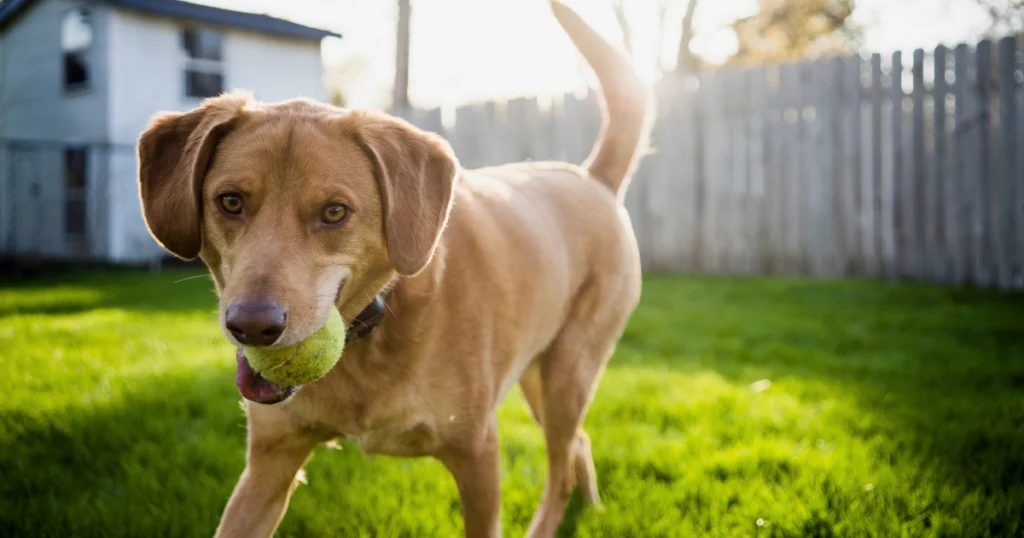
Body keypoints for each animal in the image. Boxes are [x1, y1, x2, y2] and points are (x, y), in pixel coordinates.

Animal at [136, 2, 651, 532]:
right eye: (230, 202)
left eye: (335, 212)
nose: (252, 327)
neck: (372, 328)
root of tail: (593, 178)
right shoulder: (269, 465)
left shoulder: (478, 456)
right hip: (538, 377)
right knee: (577, 444)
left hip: (568, 373)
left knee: (561, 464)